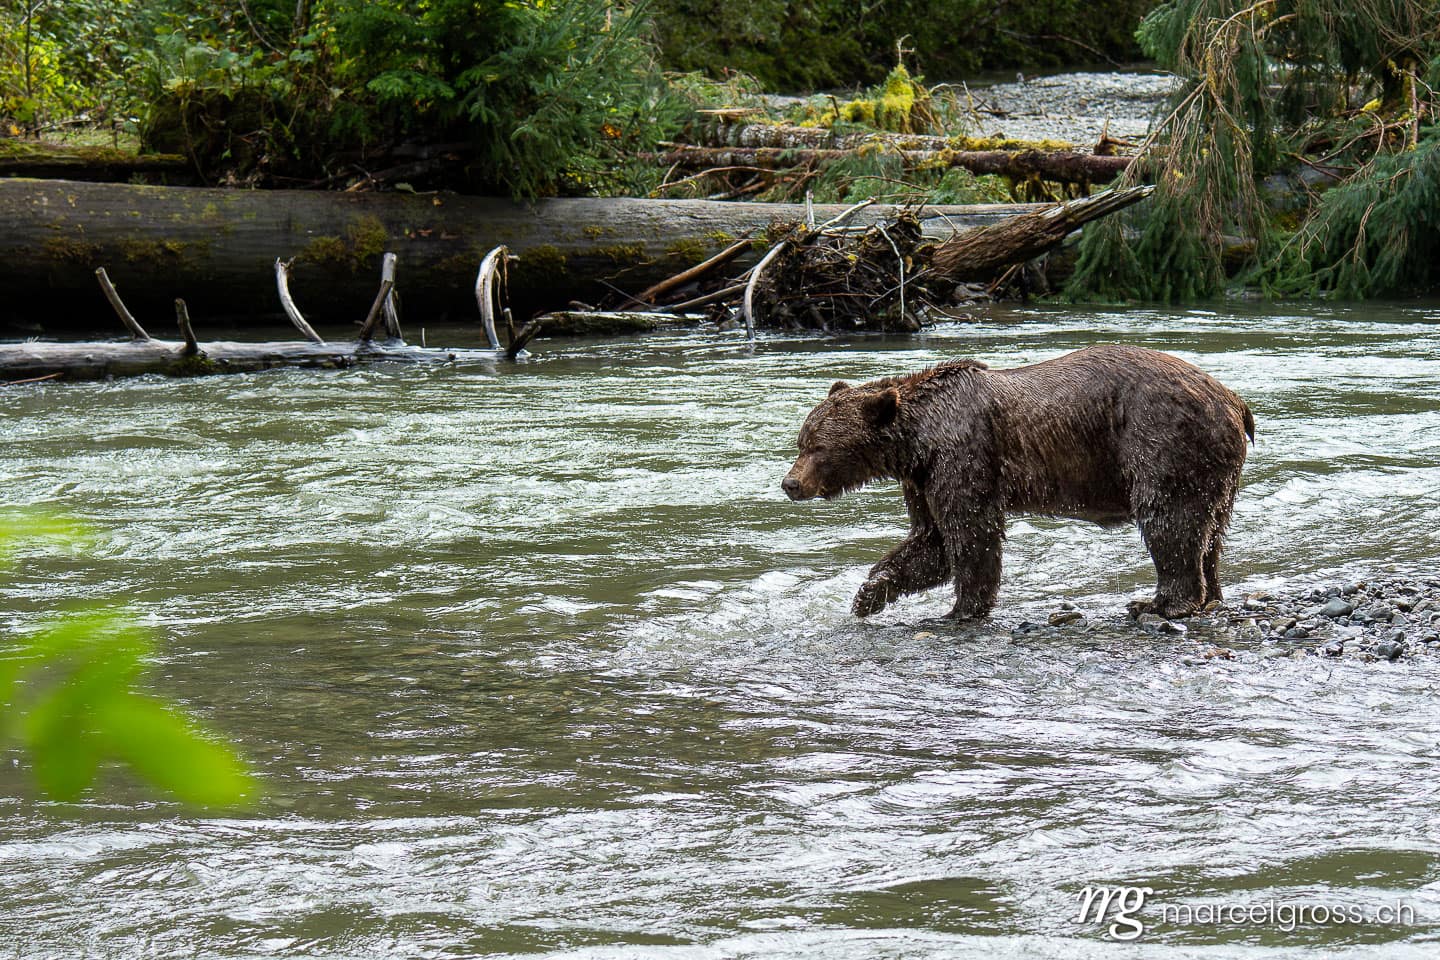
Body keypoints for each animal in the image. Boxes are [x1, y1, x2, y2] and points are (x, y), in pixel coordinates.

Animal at [781, 344, 1254, 620]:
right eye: (801, 441)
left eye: (817, 447)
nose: (790, 483)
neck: (918, 440)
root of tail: (1235, 400)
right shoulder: (922, 478)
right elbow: (930, 542)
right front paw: (868, 594)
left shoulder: (964, 454)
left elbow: (970, 534)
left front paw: (959, 610)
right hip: (1216, 469)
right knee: (1209, 532)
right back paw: (1210, 595)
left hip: (1163, 439)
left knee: (1168, 520)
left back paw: (1161, 602)